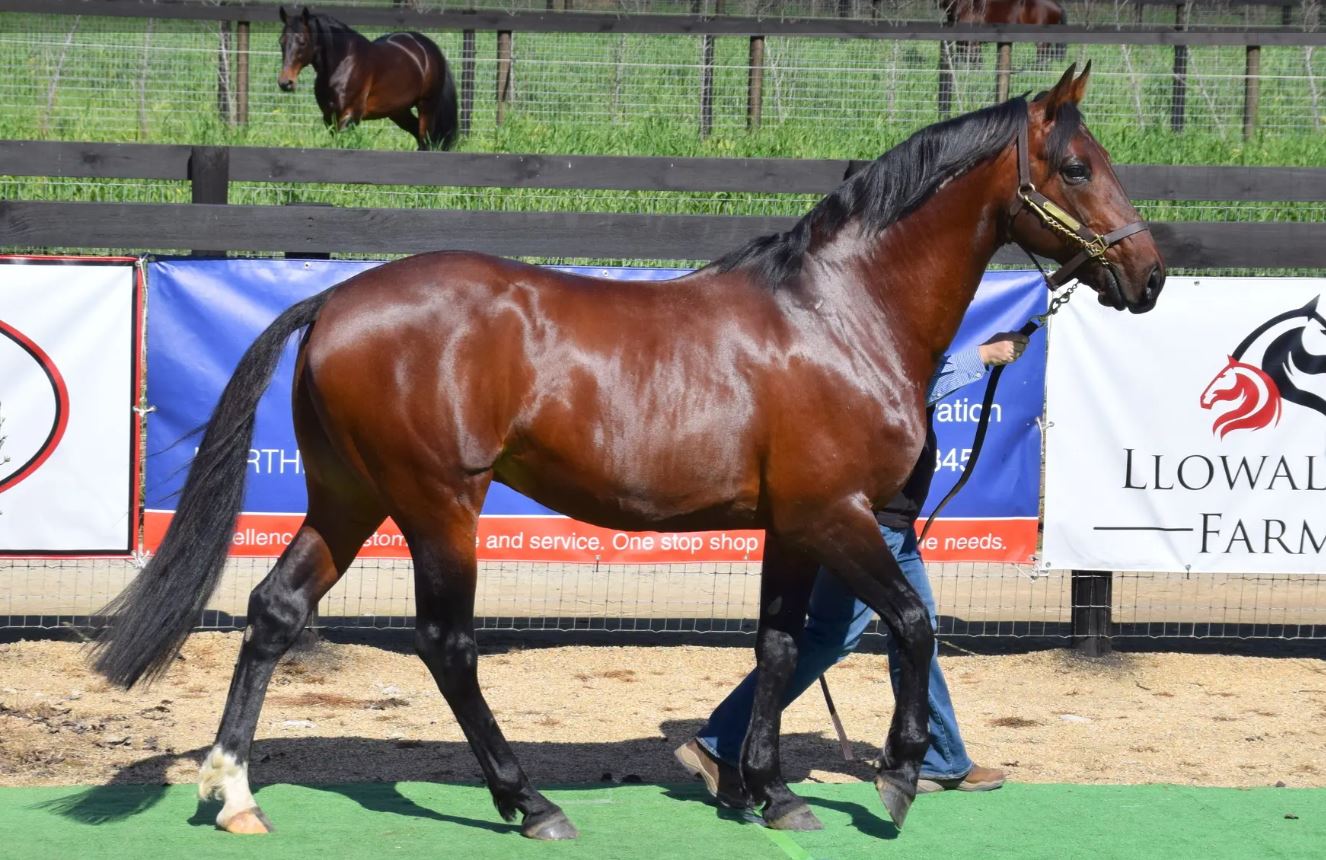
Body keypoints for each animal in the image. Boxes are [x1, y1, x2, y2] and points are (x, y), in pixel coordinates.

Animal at [91, 65, 1163, 840]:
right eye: (1076, 167)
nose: (1148, 275)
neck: (837, 316)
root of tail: (336, 299)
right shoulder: (836, 514)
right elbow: (910, 624)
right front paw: (896, 779)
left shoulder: (791, 525)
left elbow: (779, 645)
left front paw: (765, 793)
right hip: (438, 503)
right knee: (447, 645)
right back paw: (528, 803)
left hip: (348, 496)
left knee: (275, 610)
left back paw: (234, 794)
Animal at [277, 6, 458, 151]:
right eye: (281, 41)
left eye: (302, 41)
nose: (285, 82)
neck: (342, 62)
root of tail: (428, 47)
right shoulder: (329, 117)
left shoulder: (350, 116)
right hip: (398, 111)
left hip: (427, 106)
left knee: (426, 140)